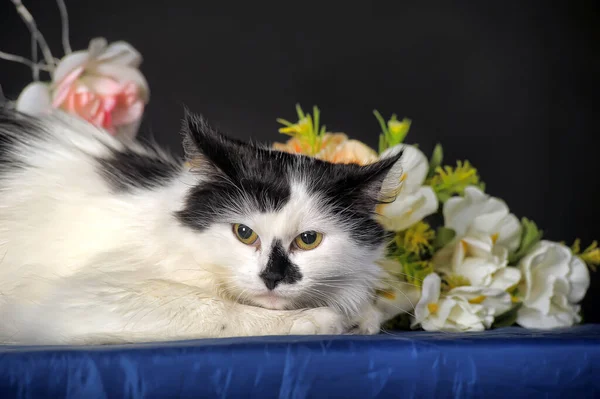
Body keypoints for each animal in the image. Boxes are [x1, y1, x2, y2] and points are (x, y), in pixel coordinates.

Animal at [0, 108, 408, 346]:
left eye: (308, 240)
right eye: (244, 233)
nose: (272, 278)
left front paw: (360, 316)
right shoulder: (82, 298)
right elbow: (215, 310)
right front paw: (318, 319)